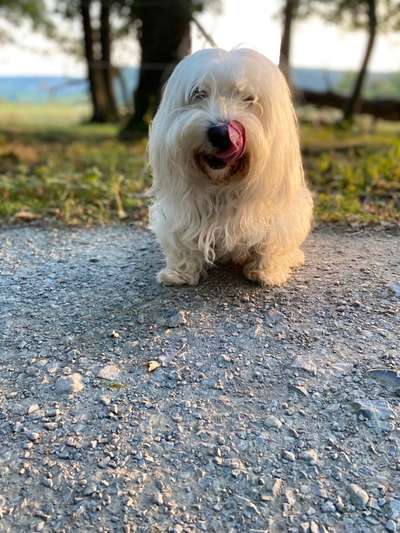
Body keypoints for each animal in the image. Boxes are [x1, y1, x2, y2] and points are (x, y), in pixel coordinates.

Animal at [148, 47, 312, 284]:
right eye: (199, 93)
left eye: (249, 98)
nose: (220, 133)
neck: (222, 185)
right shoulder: (182, 212)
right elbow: (182, 240)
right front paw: (180, 272)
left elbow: (269, 242)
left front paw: (266, 272)